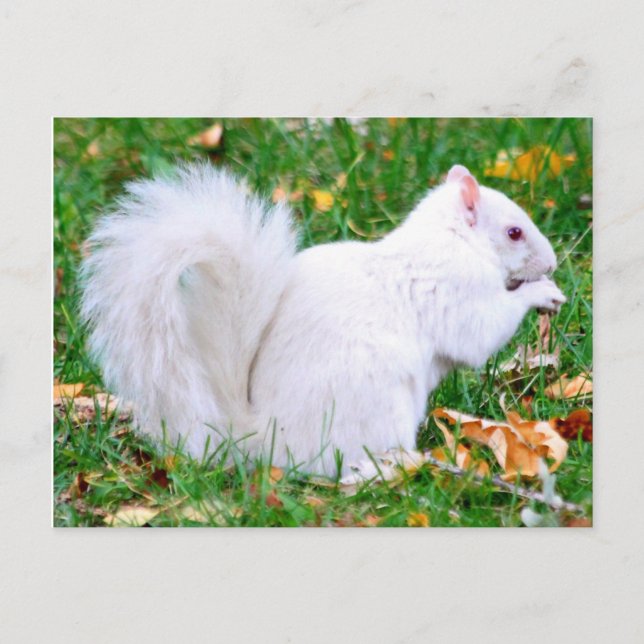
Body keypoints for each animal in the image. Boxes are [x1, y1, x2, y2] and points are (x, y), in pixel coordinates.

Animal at [81, 163, 566, 477]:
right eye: (514, 232)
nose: (553, 263)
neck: (452, 239)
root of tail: (266, 440)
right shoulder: (456, 289)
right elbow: (480, 334)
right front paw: (542, 293)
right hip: (377, 403)